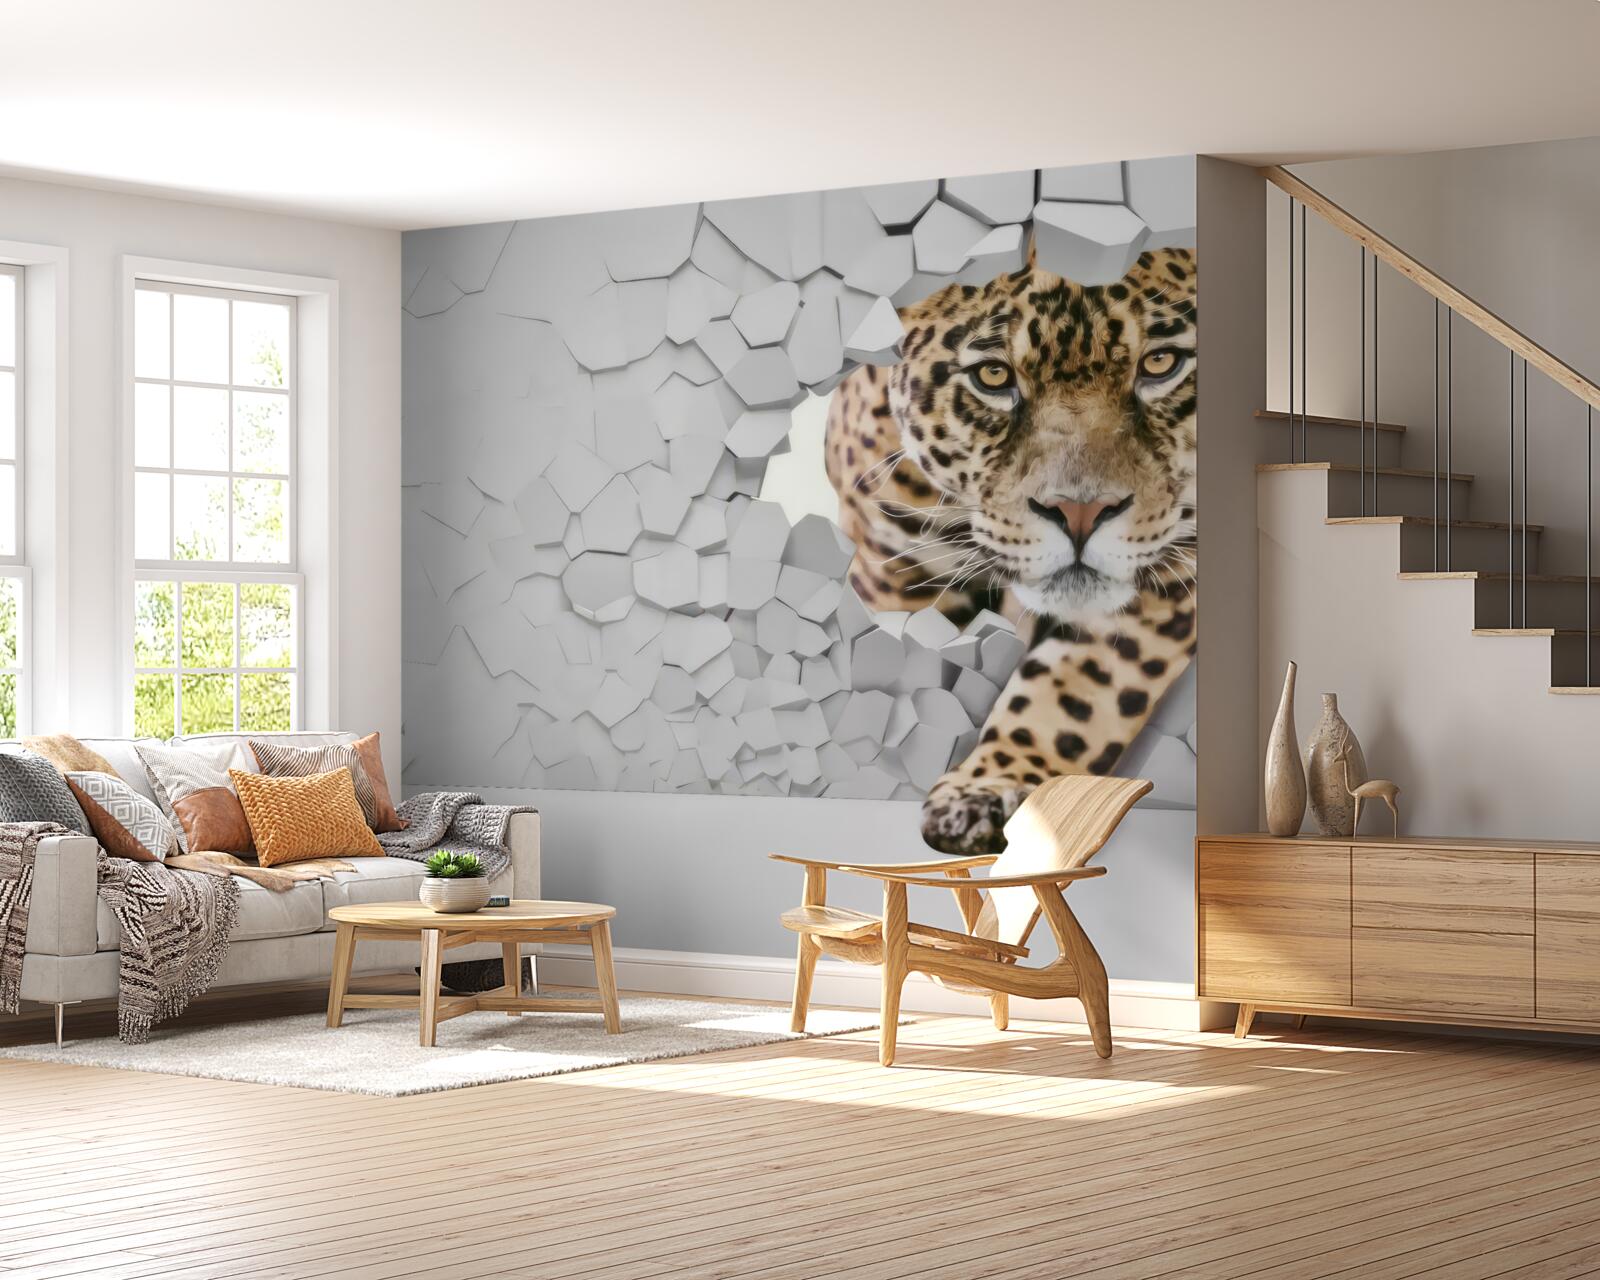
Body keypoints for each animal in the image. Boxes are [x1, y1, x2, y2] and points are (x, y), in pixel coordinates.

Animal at [824, 247, 1197, 855]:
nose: (1080, 512)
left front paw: (989, 788)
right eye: (994, 376)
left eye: (1161, 364)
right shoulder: (894, 566)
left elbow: (1073, 693)